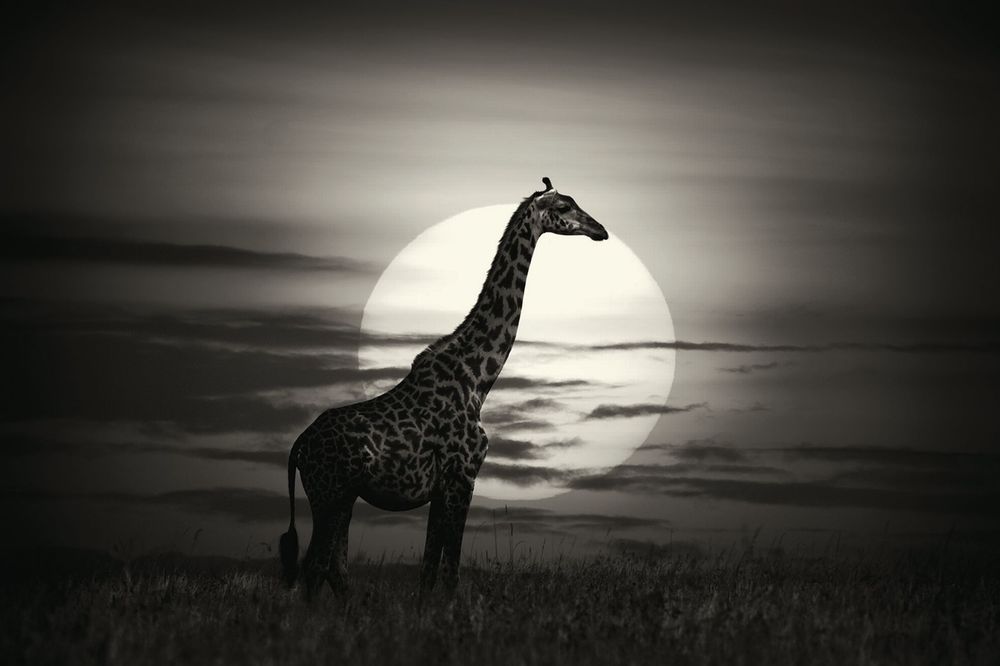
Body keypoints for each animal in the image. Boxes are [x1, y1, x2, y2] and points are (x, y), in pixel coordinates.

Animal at [279, 177, 607, 597]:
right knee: (315, 566)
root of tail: (298, 447)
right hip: (329, 494)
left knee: (335, 569)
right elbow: (450, 571)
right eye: (564, 207)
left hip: (343, 499)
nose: (601, 230)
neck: (478, 379)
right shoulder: (463, 476)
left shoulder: (441, 487)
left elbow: (428, 571)